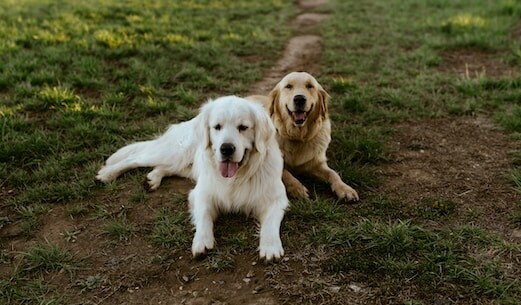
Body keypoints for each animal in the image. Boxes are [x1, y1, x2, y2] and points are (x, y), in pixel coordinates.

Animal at [97, 96, 288, 260]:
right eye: (217, 127)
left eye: (243, 127)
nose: (226, 149)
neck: (236, 177)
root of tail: (191, 120)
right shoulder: (201, 194)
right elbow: (203, 216)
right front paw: (202, 241)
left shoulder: (277, 199)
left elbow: (270, 224)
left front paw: (270, 247)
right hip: (176, 153)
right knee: (135, 158)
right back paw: (107, 174)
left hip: (185, 165)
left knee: (164, 167)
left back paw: (152, 178)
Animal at [248, 72, 358, 202]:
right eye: (288, 86)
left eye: (310, 86)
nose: (299, 99)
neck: (297, 136)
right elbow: (285, 172)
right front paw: (297, 188)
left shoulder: (316, 163)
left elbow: (333, 173)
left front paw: (345, 189)